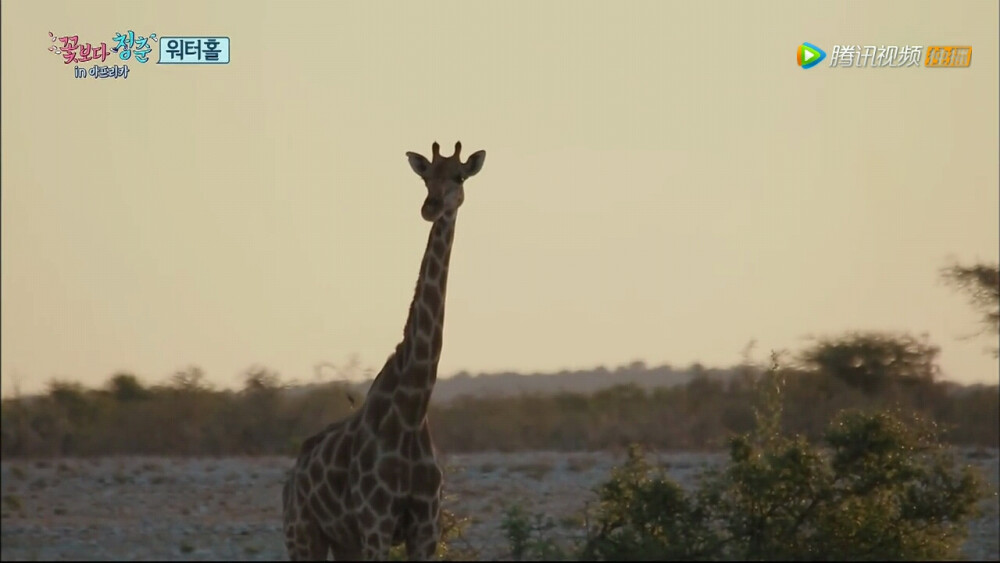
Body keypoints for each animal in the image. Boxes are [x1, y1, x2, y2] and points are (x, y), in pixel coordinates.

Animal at [284, 140, 486, 560]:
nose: (431, 206)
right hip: (303, 534)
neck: (411, 411)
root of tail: (291, 478)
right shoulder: (375, 524)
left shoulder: (425, 529)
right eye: (425, 177)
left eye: (459, 176)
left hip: (343, 541)